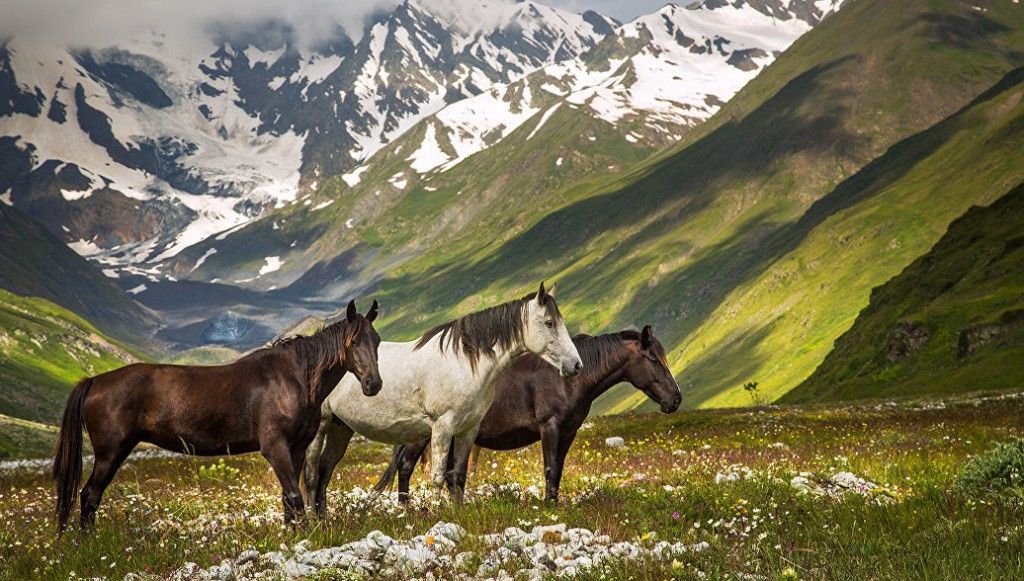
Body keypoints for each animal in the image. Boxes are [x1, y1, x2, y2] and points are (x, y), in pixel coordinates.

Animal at [52, 303, 380, 532]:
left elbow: (289, 496)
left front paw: (293, 535)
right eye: (353, 342)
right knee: (89, 495)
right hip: (111, 452)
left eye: (376, 340)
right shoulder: (275, 448)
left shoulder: (296, 449)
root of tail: (95, 381)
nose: (373, 384)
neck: (292, 379)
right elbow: (295, 496)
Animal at [301, 284, 585, 516]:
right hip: (322, 425)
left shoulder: (468, 430)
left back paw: (324, 518)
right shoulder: (442, 428)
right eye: (549, 323)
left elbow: (458, 476)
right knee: (312, 472)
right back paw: (315, 520)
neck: (464, 363)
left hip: (341, 427)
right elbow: (438, 477)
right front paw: (436, 515)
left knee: (326, 469)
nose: (575, 365)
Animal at [376, 327, 679, 504]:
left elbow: (558, 470)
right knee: (406, 467)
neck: (567, 379)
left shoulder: (568, 432)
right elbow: (549, 468)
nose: (675, 400)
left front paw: (554, 504)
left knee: (450, 473)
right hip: (421, 436)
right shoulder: (550, 427)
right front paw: (548, 507)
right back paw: (406, 509)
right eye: (653, 359)